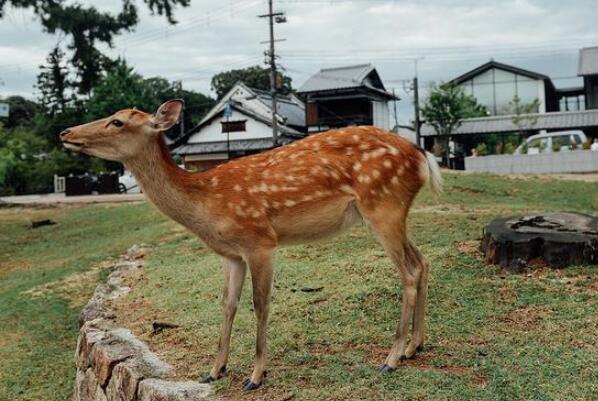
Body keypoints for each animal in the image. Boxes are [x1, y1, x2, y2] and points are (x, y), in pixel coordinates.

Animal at [59, 99, 446, 390]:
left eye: (118, 121)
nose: (65, 132)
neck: (205, 205)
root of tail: (422, 156)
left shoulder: (260, 241)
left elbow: (260, 304)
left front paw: (255, 376)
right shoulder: (231, 254)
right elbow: (228, 305)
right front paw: (214, 370)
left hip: (383, 205)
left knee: (408, 271)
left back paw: (391, 359)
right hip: (392, 211)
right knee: (423, 261)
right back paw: (414, 346)